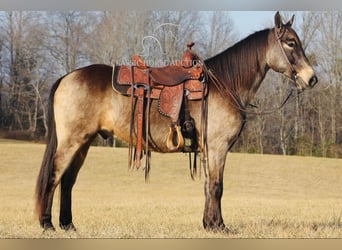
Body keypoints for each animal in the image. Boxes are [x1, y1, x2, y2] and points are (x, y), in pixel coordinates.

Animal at [35, 12, 318, 232]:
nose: (311, 78)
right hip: (71, 141)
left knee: (68, 181)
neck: (224, 84)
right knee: (54, 175)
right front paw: (220, 226)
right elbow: (217, 186)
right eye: (291, 42)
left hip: (83, 143)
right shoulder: (217, 148)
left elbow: (208, 186)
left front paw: (209, 224)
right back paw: (47, 223)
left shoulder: (207, 150)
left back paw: (68, 225)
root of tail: (66, 77)